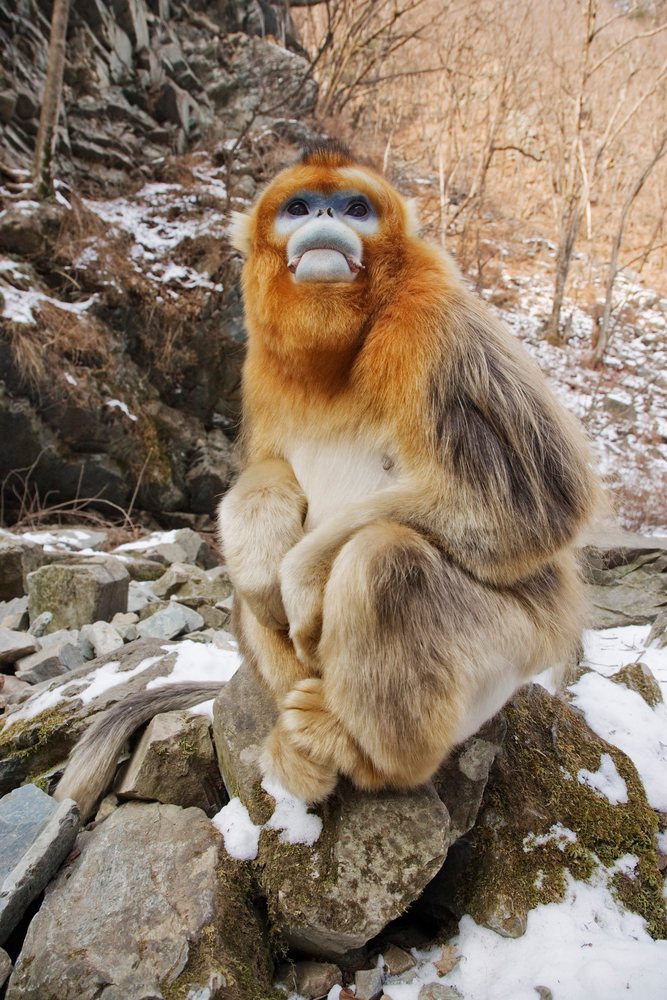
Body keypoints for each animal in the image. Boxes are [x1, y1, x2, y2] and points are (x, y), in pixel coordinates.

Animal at [55, 140, 599, 820]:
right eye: (300, 206)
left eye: (355, 208)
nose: (325, 218)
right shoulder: (260, 367)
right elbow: (265, 473)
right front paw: (264, 549)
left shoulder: (438, 326)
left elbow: (535, 504)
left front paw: (302, 578)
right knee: (254, 589)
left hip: (517, 649)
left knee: (386, 562)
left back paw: (359, 751)